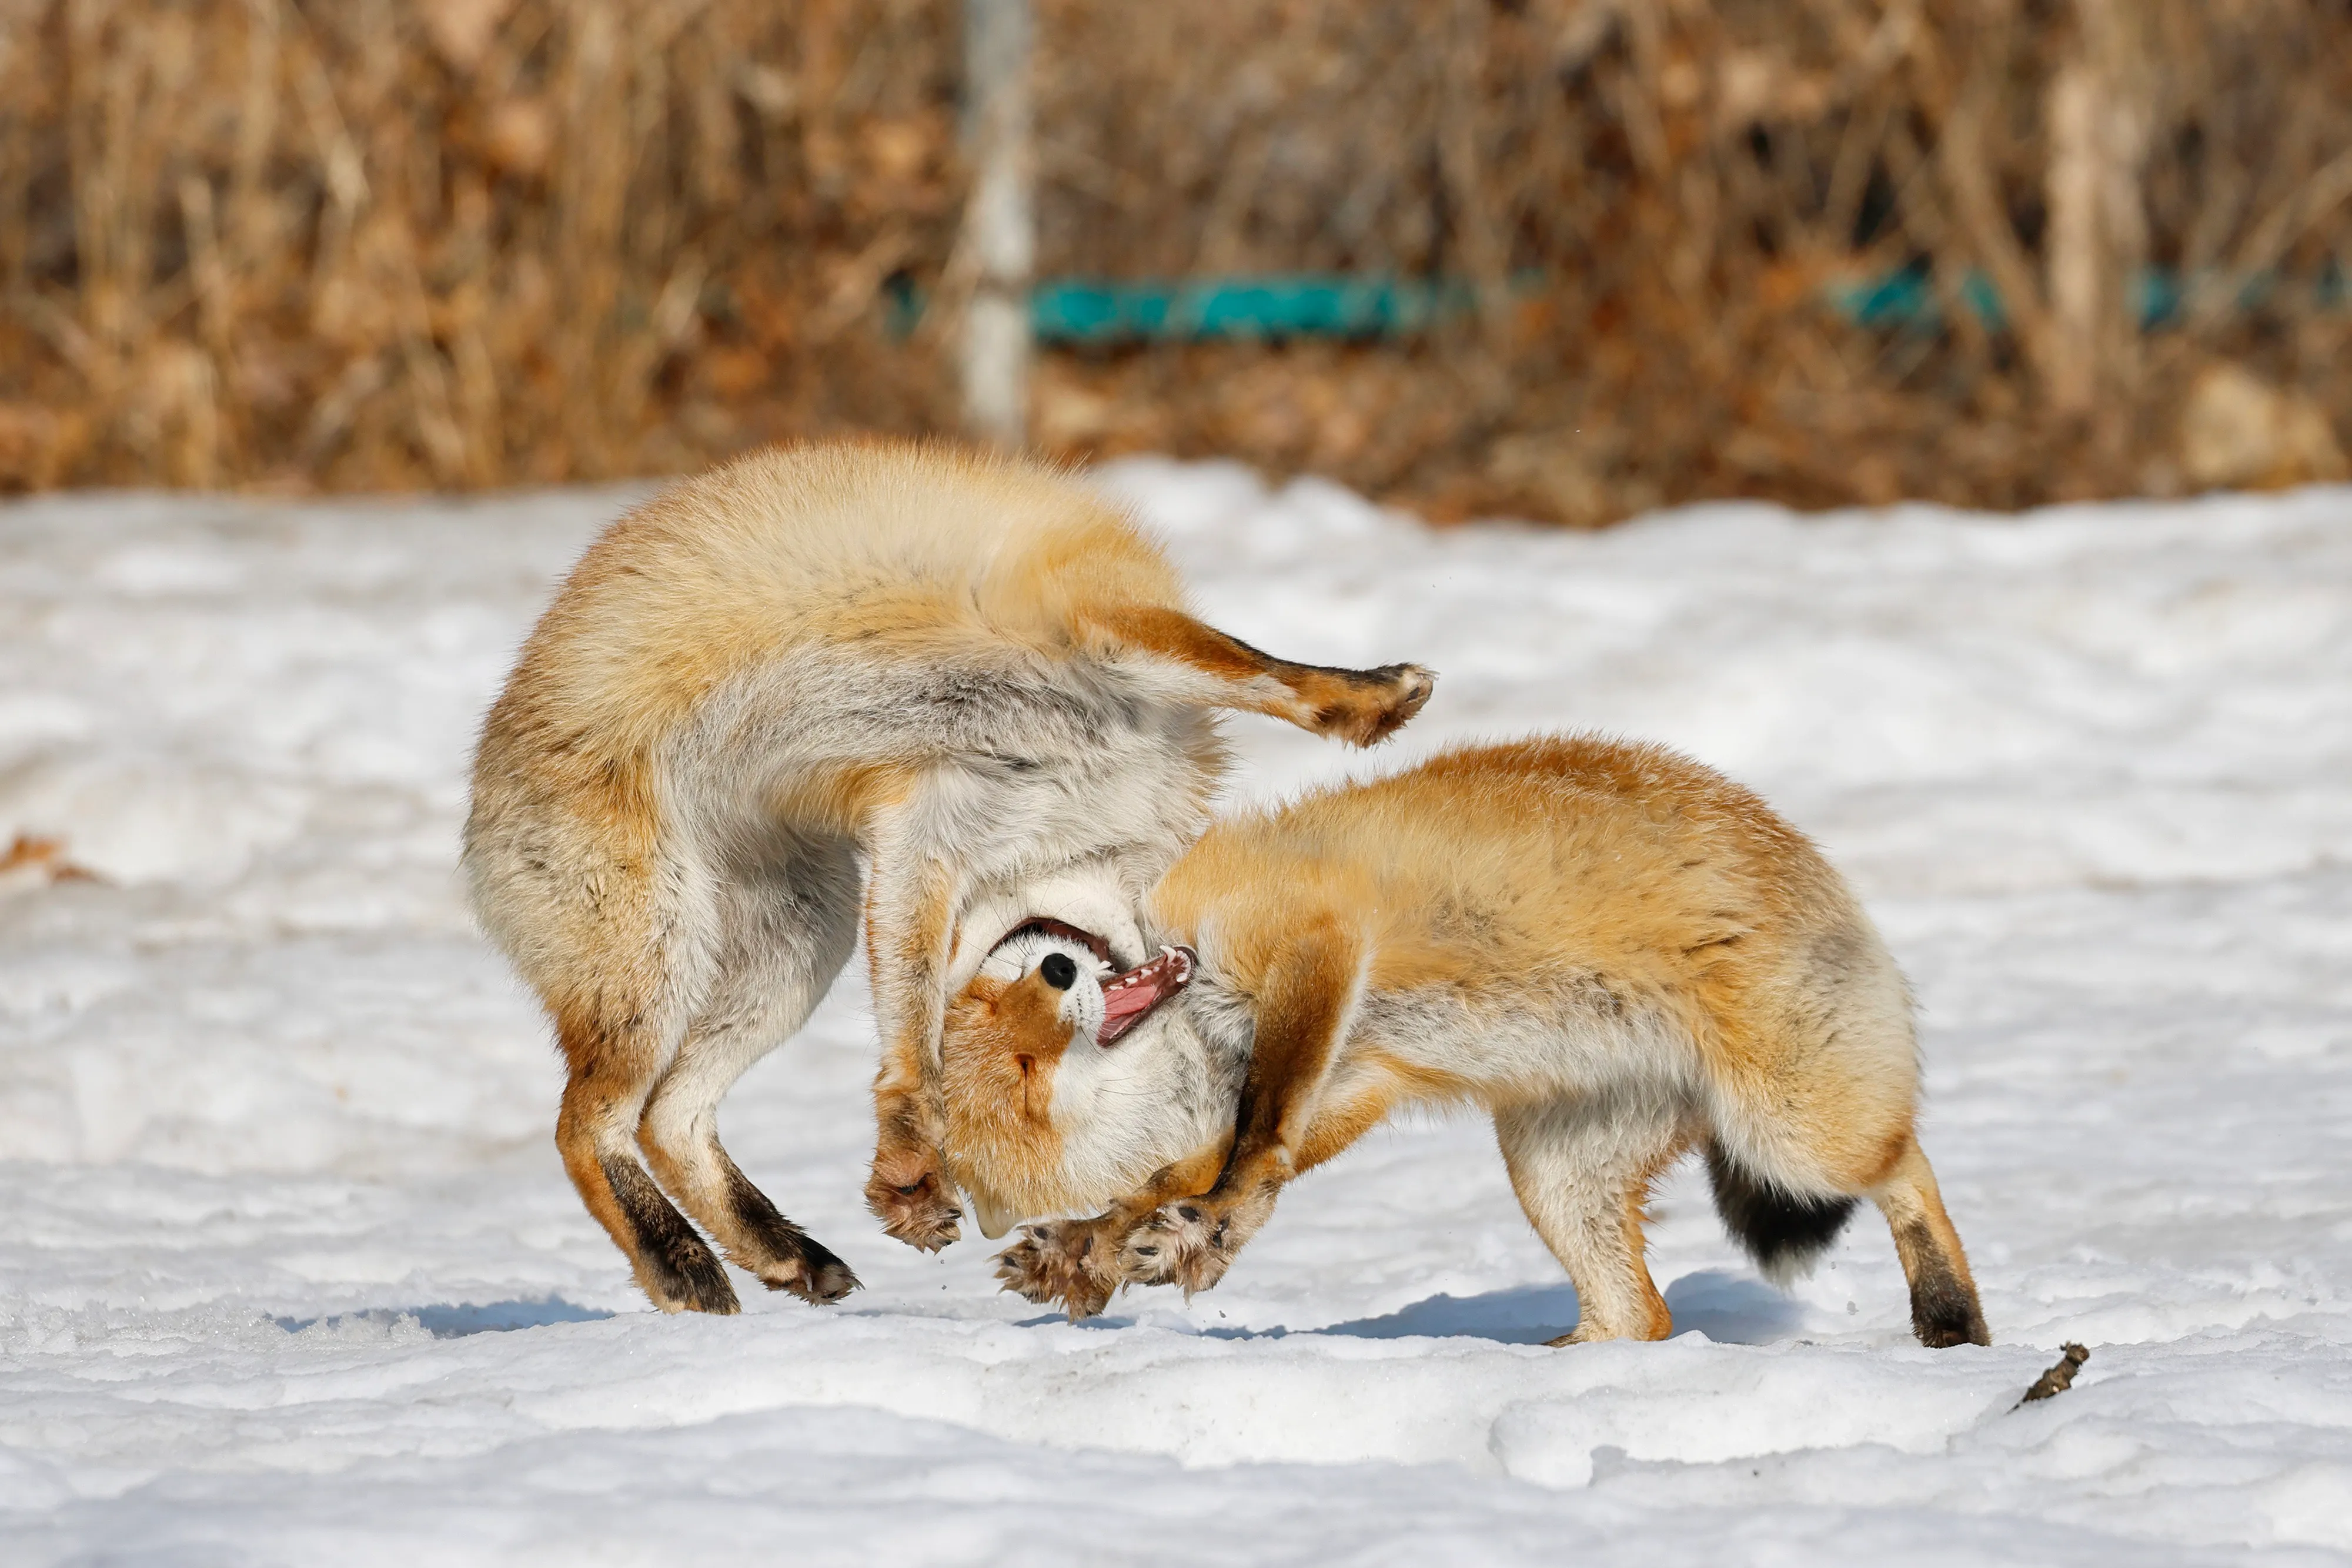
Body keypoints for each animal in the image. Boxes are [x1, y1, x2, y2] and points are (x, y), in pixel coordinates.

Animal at [462, 441, 1434, 1315]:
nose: (1164, 958)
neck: (1089, 822)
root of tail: (474, 820)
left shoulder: (927, 824)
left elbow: (910, 1035)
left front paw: (908, 1171)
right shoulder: (1099, 626)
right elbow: (1254, 666)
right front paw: (1370, 698)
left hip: (800, 944)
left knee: (670, 1118)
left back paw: (781, 1253)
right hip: (657, 966)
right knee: (584, 1126)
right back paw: (679, 1266)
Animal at [935, 736, 1991, 1349]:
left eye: (1012, 1007)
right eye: (1027, 1074)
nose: (1059, 969)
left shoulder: (1317, 943)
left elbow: (1254, 1141)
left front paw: (1209, 1226)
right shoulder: (1357, 1074)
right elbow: (1192, 1173)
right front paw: (1101, 1247)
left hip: (1792, 1134)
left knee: (1909, 1165)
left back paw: (1953, 1319)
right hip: (1554, 1175)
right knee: (1638, 1317)